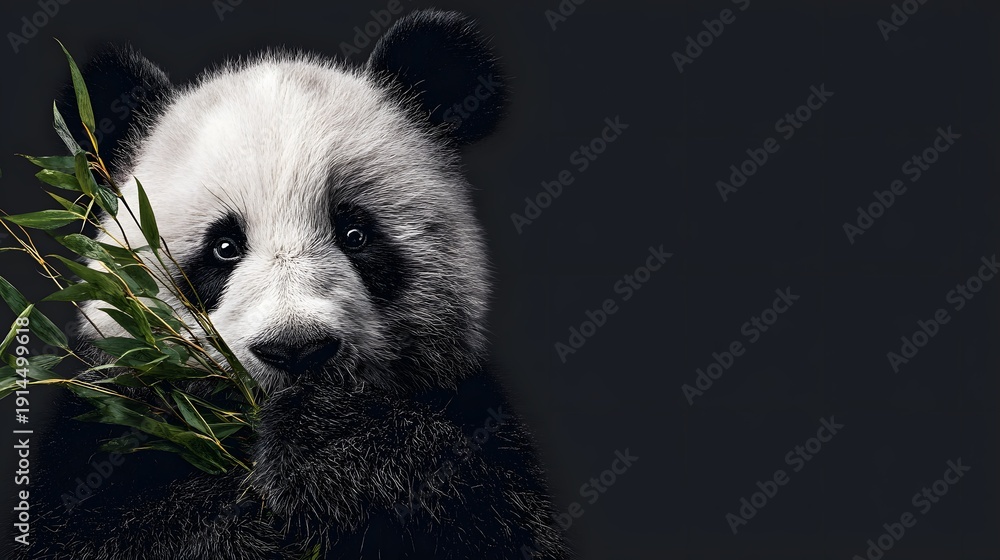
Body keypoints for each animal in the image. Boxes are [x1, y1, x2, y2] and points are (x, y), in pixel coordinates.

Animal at [10, 9, 569, 560]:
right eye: (224, 247)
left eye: (355, 234)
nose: (296, 350)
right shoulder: (108, 421)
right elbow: (102, 533)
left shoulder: (471, 404)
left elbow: (496, 517)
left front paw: (333, 443)